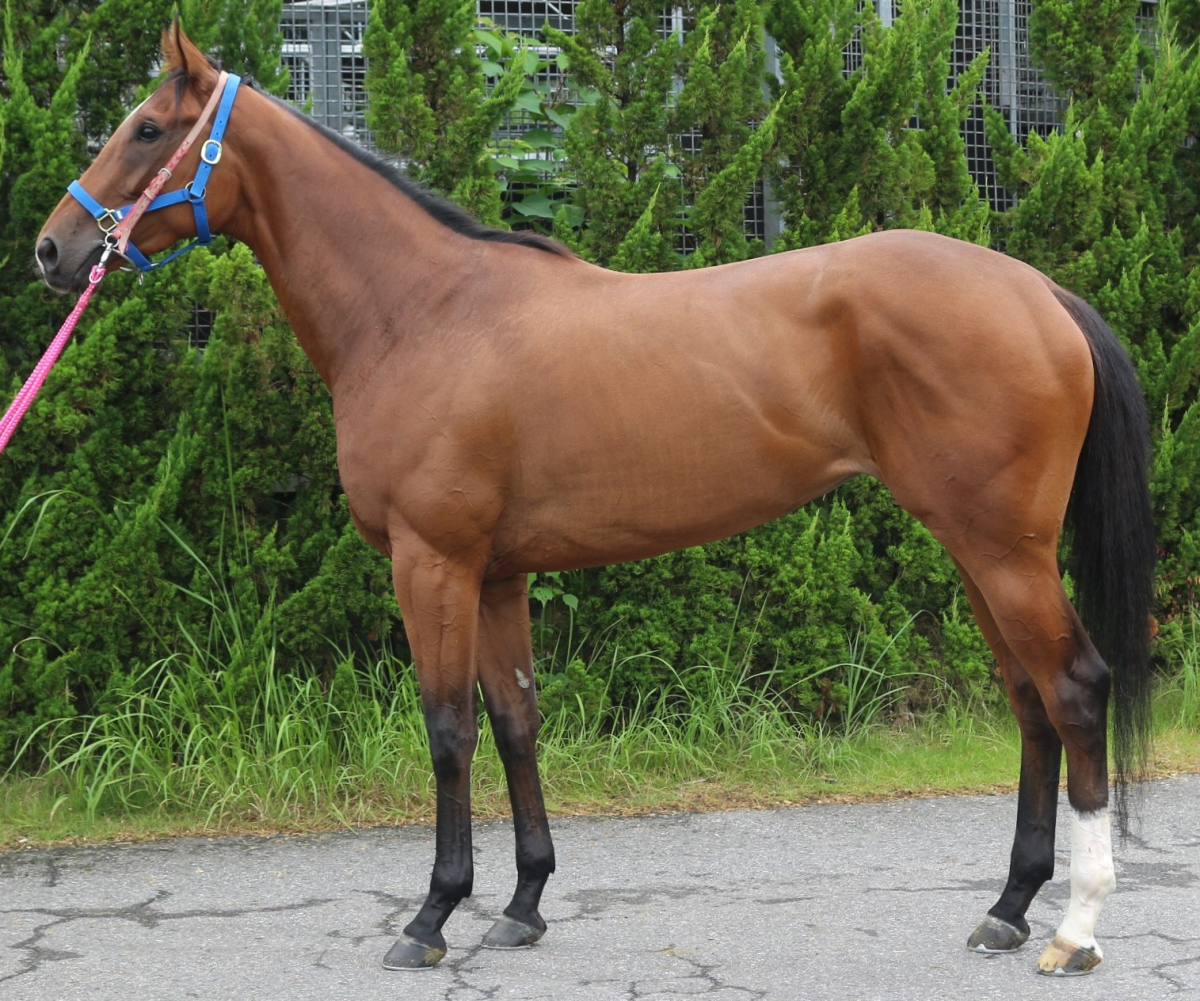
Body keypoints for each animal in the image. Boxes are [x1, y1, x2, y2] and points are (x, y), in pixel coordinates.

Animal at [34, 22, 1155, 977]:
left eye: (146, 130)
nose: (52, 249)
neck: (424, 313)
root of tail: (1039, 291)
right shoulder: (497, 574)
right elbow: (515, 720)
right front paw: (523, 903)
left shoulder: (432, 560)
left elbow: (447, 728)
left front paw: (432, 915)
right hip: (975, 548)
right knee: (1029, 701)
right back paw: (1007, 909)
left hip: (1002, 548)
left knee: (1074, 688)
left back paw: (1076, 927)